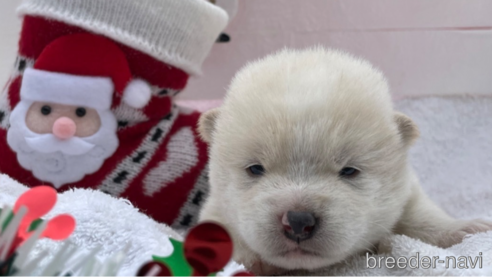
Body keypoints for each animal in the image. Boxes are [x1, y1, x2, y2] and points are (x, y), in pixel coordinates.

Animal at [197, 47, 492, 274]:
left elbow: (421, 215)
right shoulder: (218, 209)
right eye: (255, 168)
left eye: (349, 171)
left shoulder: (406, 192)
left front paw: (467, 228)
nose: (298, 221)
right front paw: (246, 259)